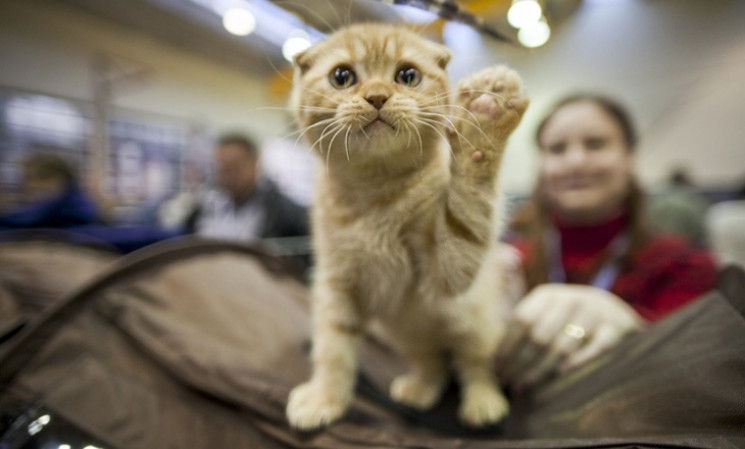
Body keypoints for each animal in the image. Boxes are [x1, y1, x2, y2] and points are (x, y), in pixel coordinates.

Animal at [282, 22, 528, 428]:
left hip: (473, 321)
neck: (376, 194)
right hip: (405, 335)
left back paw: (483, 401)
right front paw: (324, 398)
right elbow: (332, 345)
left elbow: (467, 213)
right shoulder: (336, 283)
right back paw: (421, 388)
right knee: (433, 363)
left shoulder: (448, 275)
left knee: (474, 363)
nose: (378, 96)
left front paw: (484, 122)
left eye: (407, 75)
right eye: (342, 76)